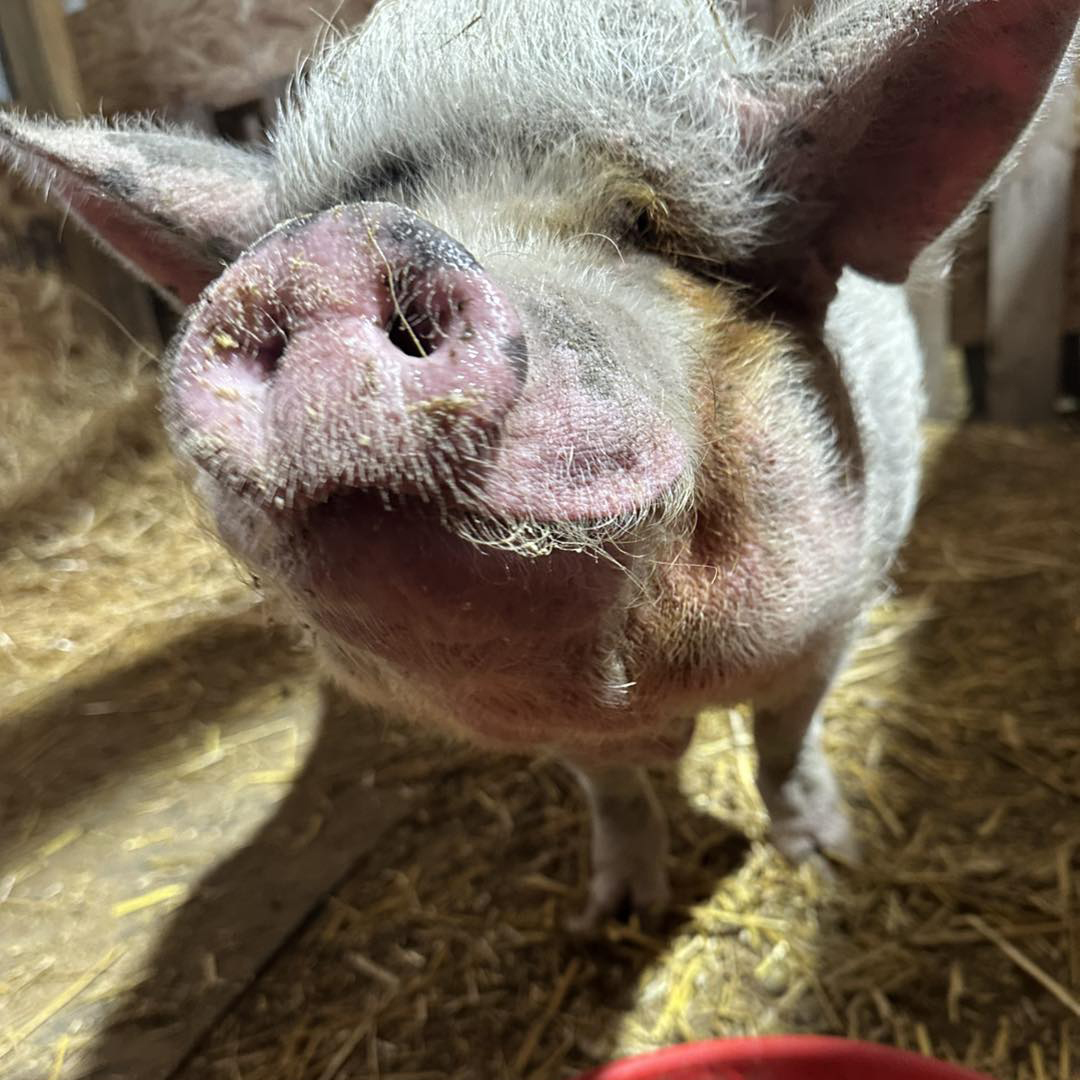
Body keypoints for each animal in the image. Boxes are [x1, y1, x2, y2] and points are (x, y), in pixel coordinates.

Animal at [2, 0, 1076, 930]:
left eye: (642, 225)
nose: (325, 251)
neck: (647, 688)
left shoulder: (834, 619)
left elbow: (784, 744)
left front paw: (827, 859)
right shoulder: (552, 733)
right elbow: (613, 793)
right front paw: (612, 920)